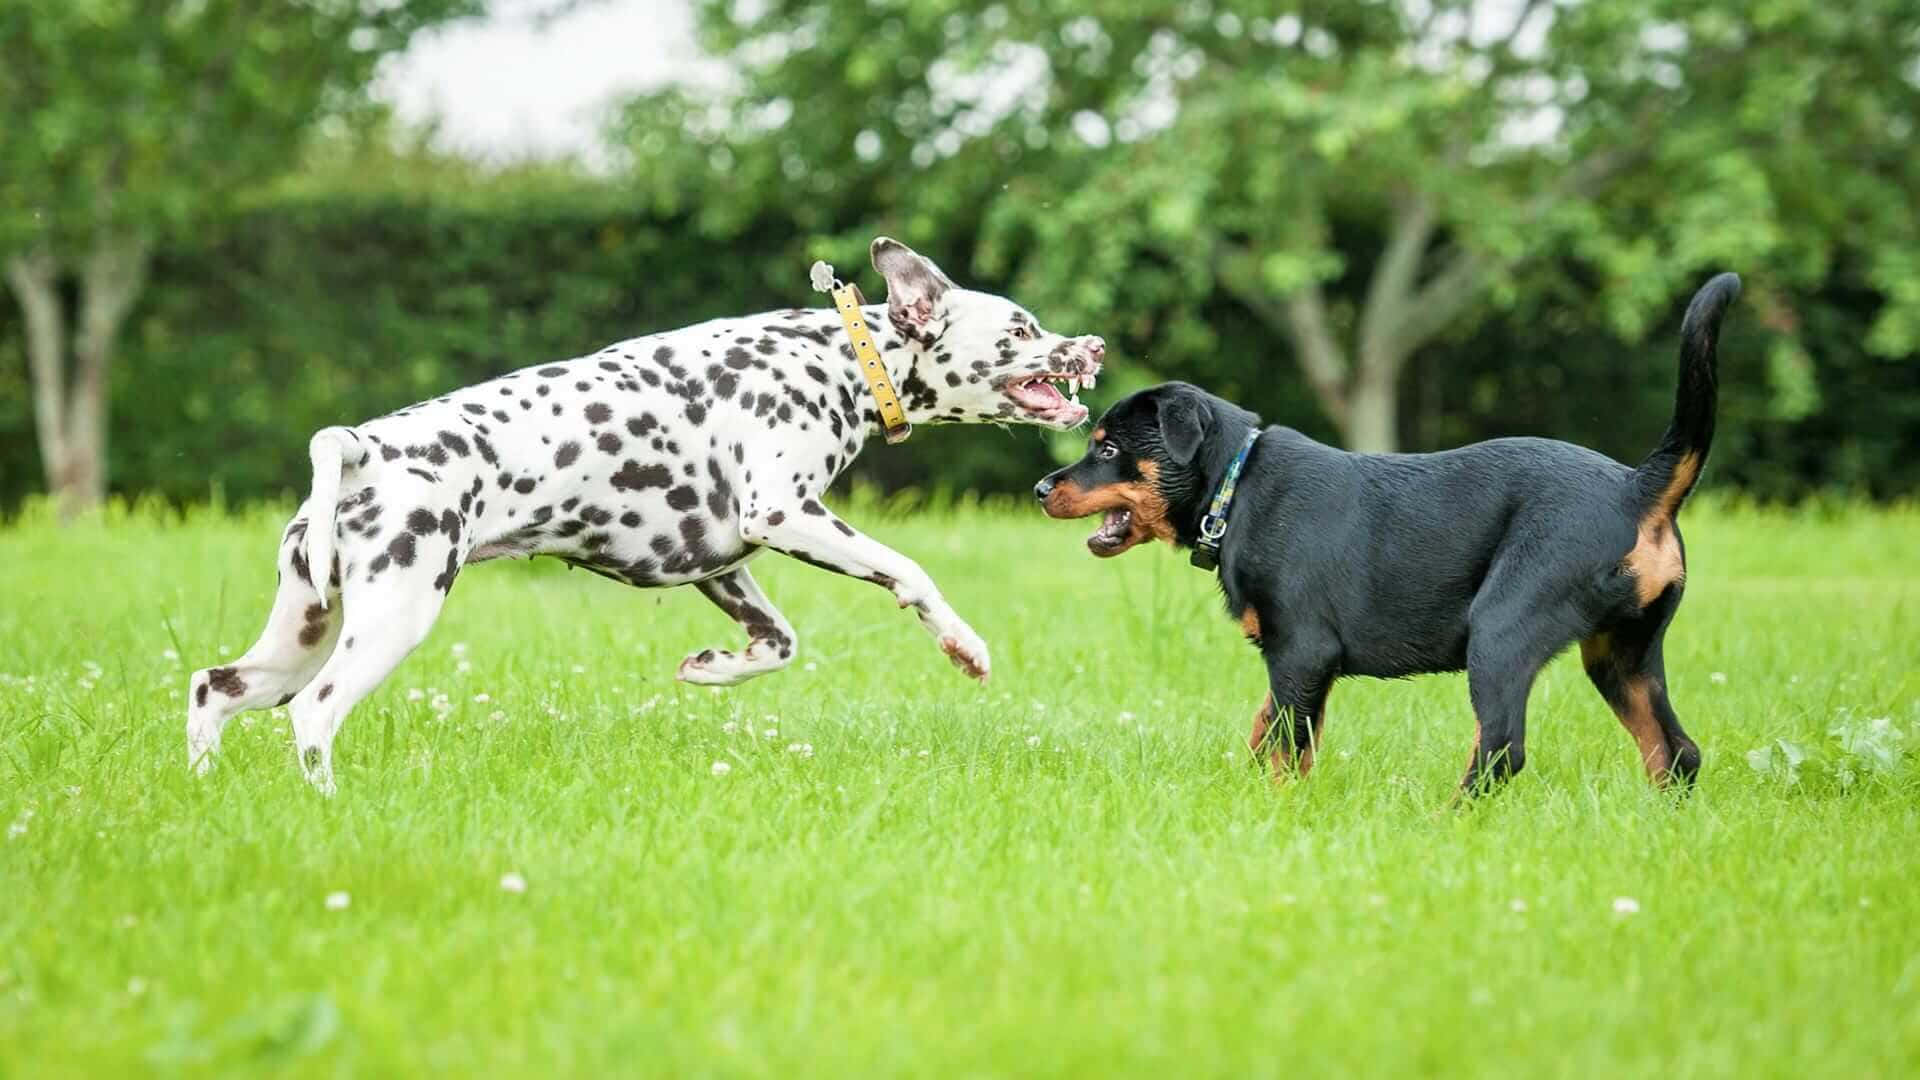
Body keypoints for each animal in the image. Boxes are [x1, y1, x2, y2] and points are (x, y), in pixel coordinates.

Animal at [189, 239, 1113, 787]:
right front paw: (964, 645)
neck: (844, 359)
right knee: (315, 715)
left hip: (299, 635)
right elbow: (911, 573)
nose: (1095, 345)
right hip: (387, 623)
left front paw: (712, 669)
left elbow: (778, 644)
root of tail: (361, 448)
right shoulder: (786, 514)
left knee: (214, 689)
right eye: (1023, 328)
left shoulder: (722, 562)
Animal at [1044, 270, 1751, 791]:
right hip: (1622, 652)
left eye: (1107, 449)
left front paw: (1276, 804)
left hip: (1503, 628)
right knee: (1676, 751)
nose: (1042, 489)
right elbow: (1267, 728)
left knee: (1501, 749)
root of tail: (1635, 488)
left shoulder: (1302, 649)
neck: (1233, 489)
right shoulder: (1297, 660)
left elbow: (1287, 743)